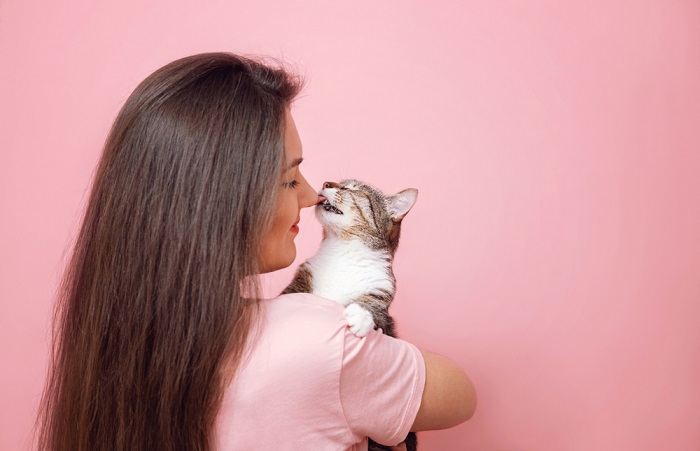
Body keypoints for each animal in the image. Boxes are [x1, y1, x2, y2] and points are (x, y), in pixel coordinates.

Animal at [280, 178, 422, 451]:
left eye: (353, 189)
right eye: (339, 182)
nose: (327, 182)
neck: (343, 251)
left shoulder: (382, 291)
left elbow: (374, 308)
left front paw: (359, 316)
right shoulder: (304, 276)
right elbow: (291, 295)